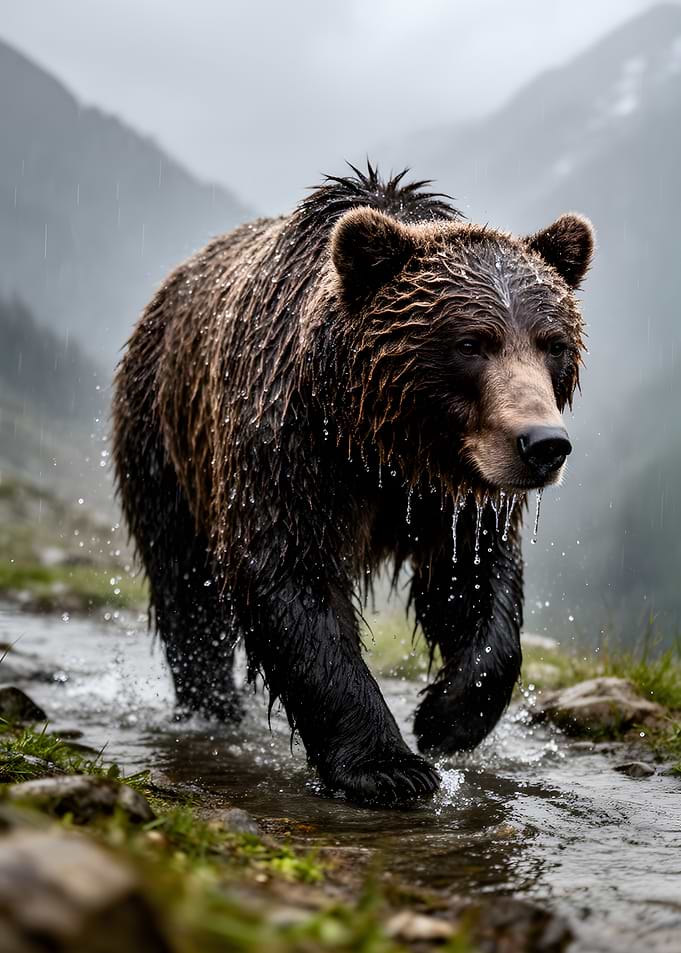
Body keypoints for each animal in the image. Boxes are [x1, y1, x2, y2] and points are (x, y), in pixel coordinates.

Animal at [112, 164, 593, 807]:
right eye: (471, 342)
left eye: (553, 343)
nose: (543, 444)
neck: (382, 444)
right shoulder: (288, 448)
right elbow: (290, 578)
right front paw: (390, 766)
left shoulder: (452, 497)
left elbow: (473, 582)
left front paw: (444, 718)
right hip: (166, 442)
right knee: (185, 586)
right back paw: (212, 707)